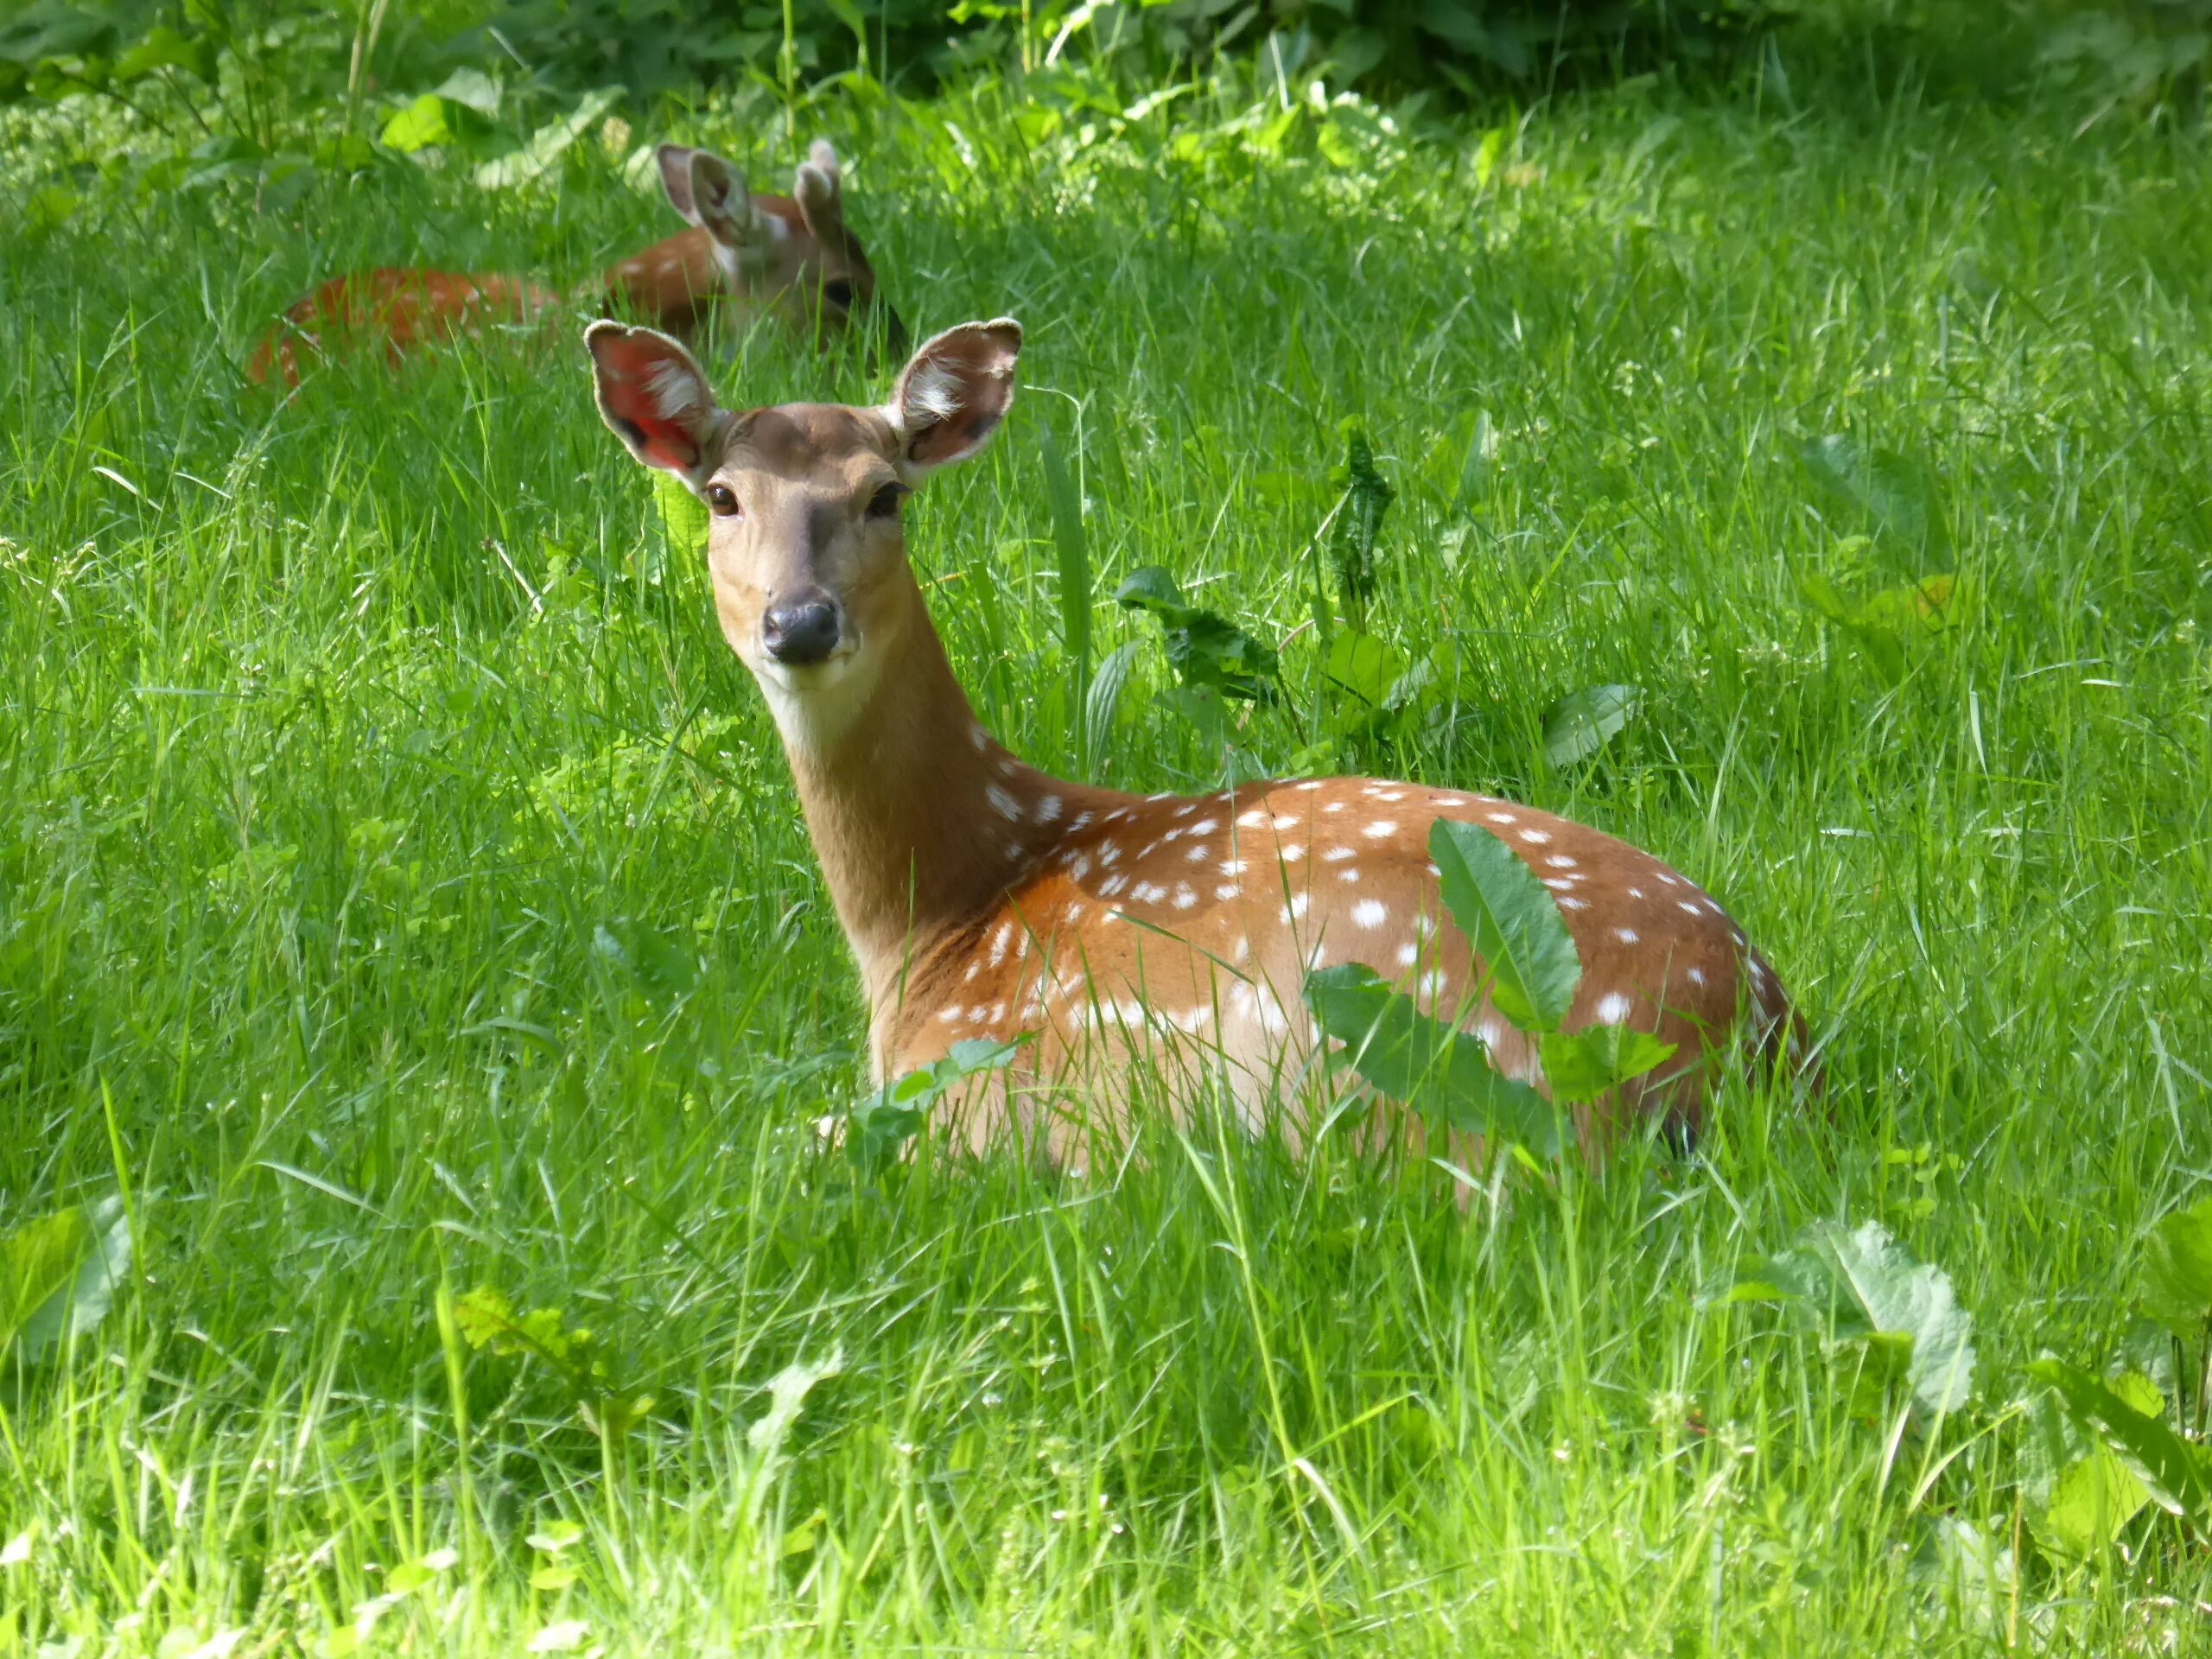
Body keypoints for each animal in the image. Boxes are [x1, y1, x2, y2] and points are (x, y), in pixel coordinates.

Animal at [582, 315, 1805, 1173]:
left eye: (886, 494)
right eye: (721, 495)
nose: (799, 623)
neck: (935, 924)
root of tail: (1752, 1048)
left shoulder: (974, 1079)